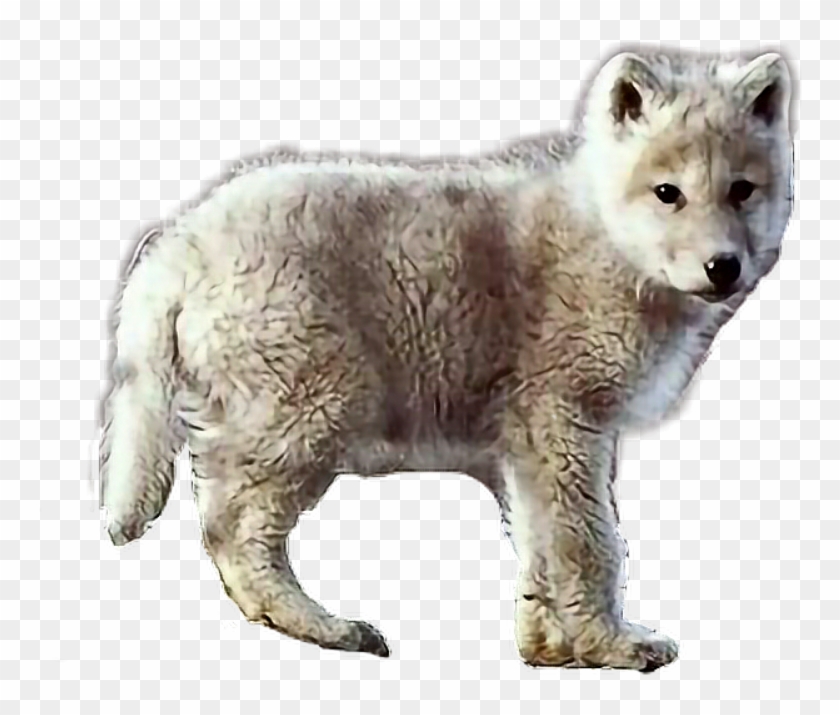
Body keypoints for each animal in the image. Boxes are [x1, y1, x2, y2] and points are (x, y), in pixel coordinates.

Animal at [100, 49, 794, 671]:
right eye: (667, 193)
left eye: (741, 191)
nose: (723, 267)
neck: (603, 241)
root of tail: (178, 244)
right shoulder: (565, 422)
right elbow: (589, 542)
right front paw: (614, 648)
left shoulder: (528, 445)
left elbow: (540, 545)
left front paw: (550, 651)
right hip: (314, 413)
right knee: (233, 530)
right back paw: (331, 629)